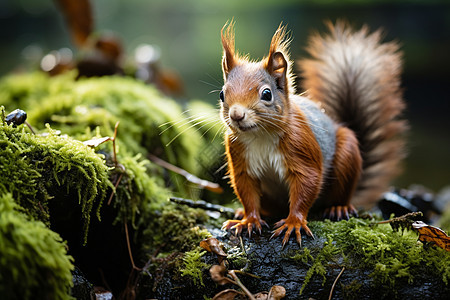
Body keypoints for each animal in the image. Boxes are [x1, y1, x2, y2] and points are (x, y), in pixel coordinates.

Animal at [220, 20, 406, 246]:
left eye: (266, 94)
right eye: (222, 94)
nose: (236, 115)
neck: (260, 136)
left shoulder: (301, 147)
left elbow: (306, 184)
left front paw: (293, 223)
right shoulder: (240, 158)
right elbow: (247, 192)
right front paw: (249, 220)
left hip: (347, 156)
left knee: (340, 195)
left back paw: (338, 207)